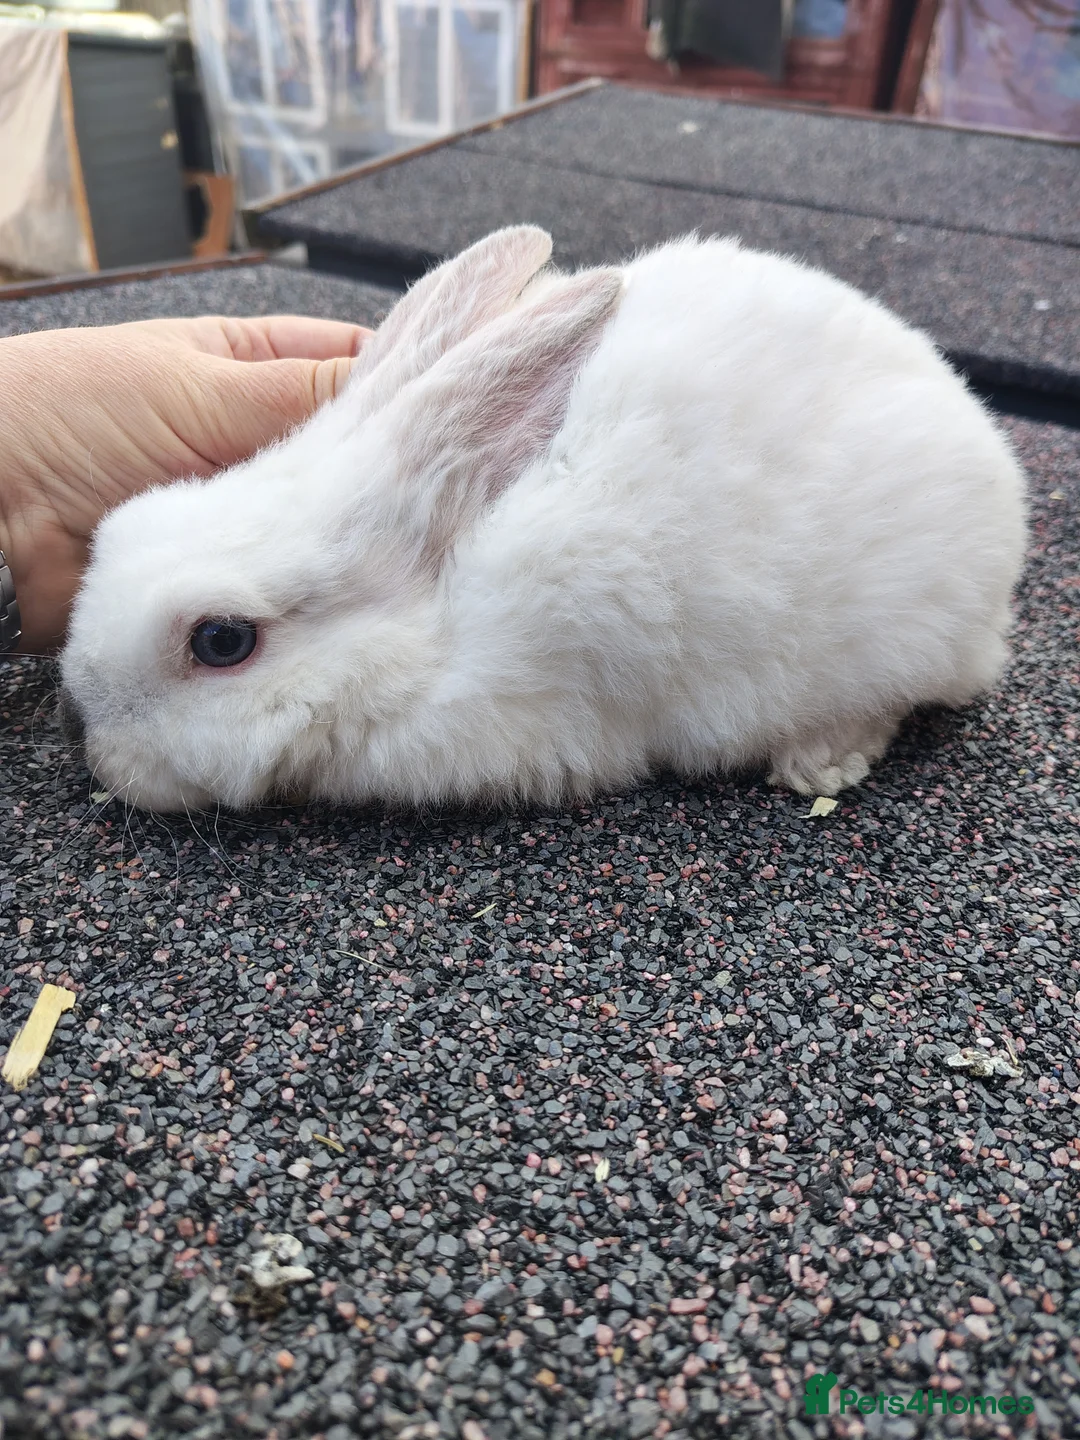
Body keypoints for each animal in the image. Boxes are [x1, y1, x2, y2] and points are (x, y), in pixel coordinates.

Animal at [59, 225, 1028, 814]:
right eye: (116, 531)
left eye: (221, 641)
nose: (100, 755)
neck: (440, 615)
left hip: (887, 636)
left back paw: (818, 761)